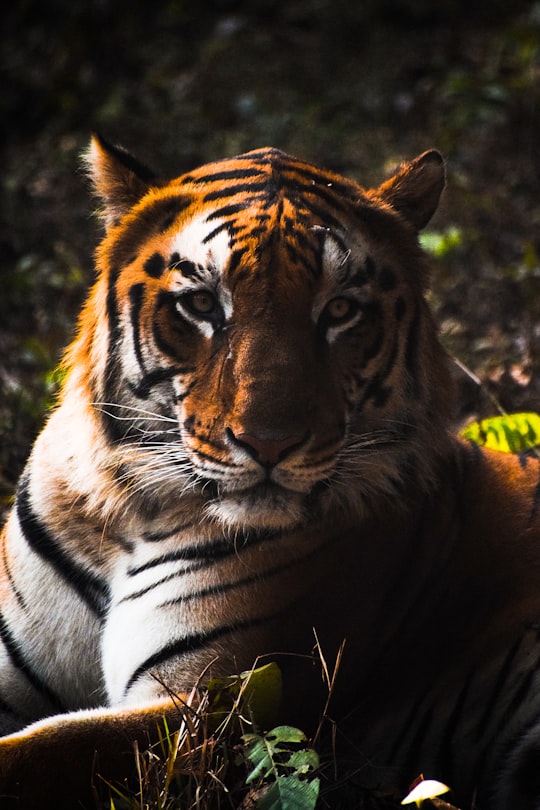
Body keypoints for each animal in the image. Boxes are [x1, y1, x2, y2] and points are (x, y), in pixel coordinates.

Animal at [1, 134, 540, 808]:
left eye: (340, 310)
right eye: (202, 303)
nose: (270, 443)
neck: (127, 513)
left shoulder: (213, 704)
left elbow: (42, 752)